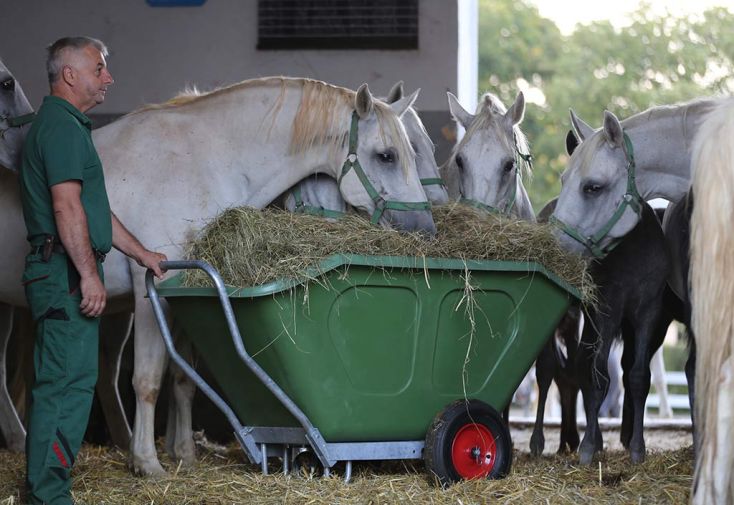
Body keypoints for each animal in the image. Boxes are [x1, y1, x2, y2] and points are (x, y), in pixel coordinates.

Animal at [0, 77, 434, 474]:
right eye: (386, 156)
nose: (425, 230)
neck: (201, 160)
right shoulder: (150, 290)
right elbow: (147, 379)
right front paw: (148, 463)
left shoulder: (187, 296)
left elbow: (183, 378)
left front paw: (184, 456)